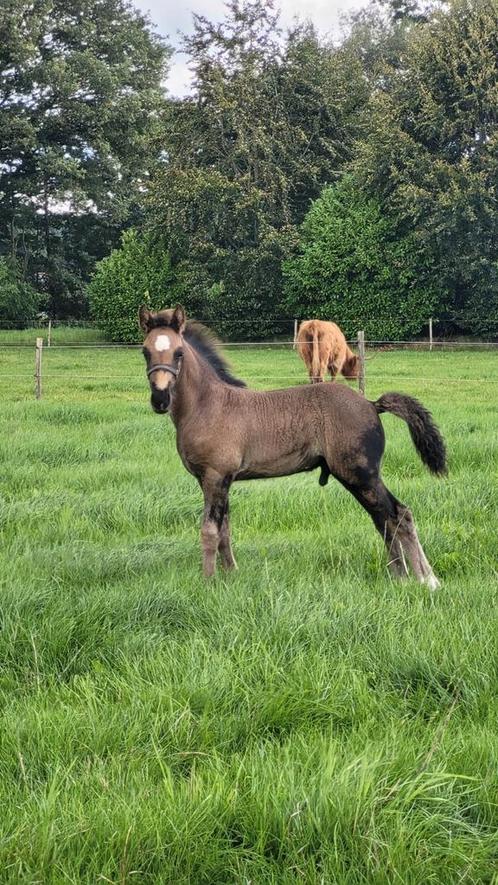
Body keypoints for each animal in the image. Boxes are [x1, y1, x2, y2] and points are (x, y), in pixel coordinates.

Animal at [138, 306, 446, 588]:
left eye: (179, 353)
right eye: (145, 352)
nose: (160, 399)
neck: (207, 406)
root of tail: (372, 404)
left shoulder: (216, 476)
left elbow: (210, 531)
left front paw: (209, 581)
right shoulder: (214, 480)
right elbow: (225, 528)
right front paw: (231, 574)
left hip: (361, 474)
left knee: (398, 514)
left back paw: (427, 580)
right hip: (358, 477)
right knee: (382, 519)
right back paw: (400, 577)